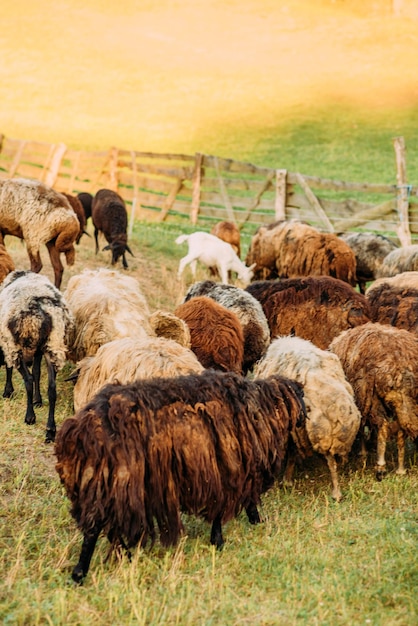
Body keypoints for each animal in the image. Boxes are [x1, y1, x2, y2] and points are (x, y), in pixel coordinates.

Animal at [0, 270, 75, 442]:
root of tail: (36, 311)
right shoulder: (38, 351)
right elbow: (37, 372)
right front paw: (37, 400)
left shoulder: (8, 343)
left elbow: (11, 368)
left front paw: (8, 392)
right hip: (51, 345)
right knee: (51, 387)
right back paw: (51, 430)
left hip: (17, 346)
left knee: (28, 379)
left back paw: (30, 417)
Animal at [54, 370, 310, 580]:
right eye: (303, 397)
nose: (304, 417)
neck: (261, 409)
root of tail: (81, 430)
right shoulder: (227, 471)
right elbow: (226, 508)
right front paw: (221, 540)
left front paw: (253, 522)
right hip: (116, 481)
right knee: (95, 529)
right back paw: (81, 573)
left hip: (103, 485)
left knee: (105, 527)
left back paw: (120, 557)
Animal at [253, 334, 360, 500]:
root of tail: (337, 409)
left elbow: (290, 453)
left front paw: (286, 480)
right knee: (332, 462)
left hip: (315, 434)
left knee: (329, 461)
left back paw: (335, 491)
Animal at [330, 322, 418, 478]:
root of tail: (399, 365)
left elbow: (362, 427)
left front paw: (363, 453)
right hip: (398, 402)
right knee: (400, 429)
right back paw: (400, 469)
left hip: (372, 397)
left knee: (383, 426)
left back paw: (380, 467)